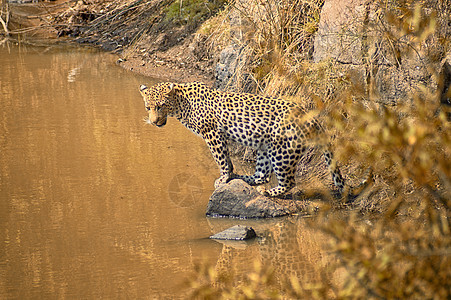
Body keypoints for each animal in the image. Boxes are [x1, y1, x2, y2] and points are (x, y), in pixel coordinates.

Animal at [139, 82, 348, 198]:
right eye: (148, 107)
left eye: (161, 106)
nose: (154, 122)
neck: (180, 104)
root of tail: (312, 117)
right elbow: (226, 159)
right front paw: (229, 175)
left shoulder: (212, 133)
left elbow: (221, 159)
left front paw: (224, 177)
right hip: (265, 148)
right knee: (262, 175)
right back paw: (241, 177)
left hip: (282, 151)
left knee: (288, 181)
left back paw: (267, 192)